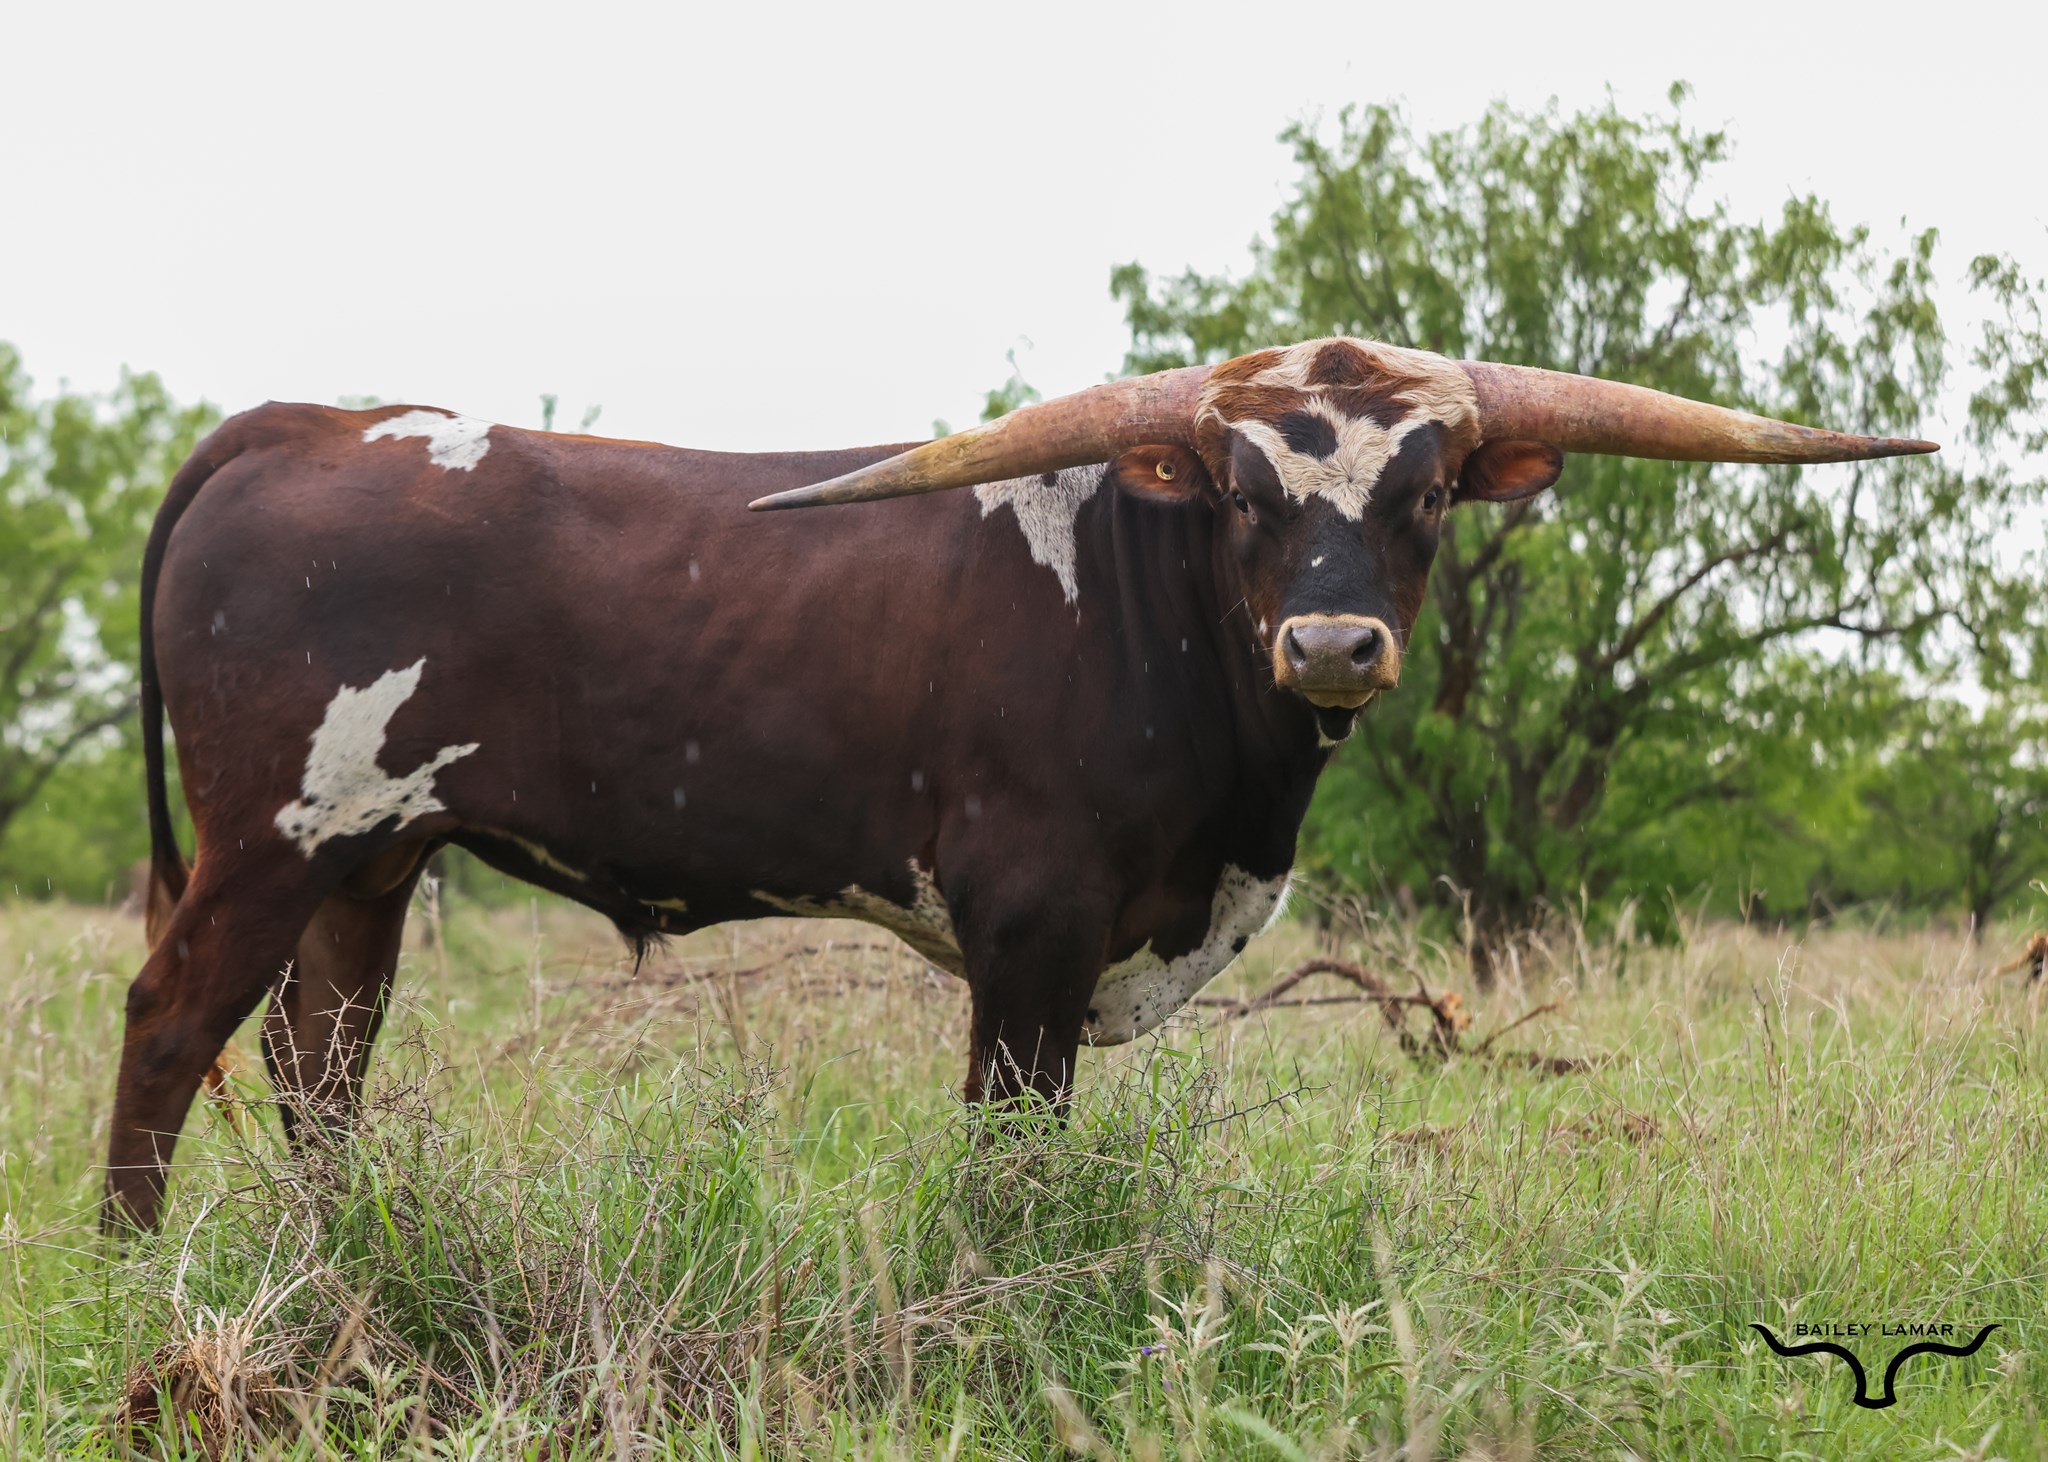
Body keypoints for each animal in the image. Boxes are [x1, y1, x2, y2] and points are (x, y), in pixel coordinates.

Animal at [106, 336, 1931, 1229]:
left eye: (1423, 490)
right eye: (1243, 490)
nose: (1334, 642)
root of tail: (310, 424)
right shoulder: (1029, 929)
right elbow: (1012, 1146)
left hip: (367, 862)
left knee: (321, 1065)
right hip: (269, 837)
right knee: (174, 1025)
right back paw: (139, 1271)